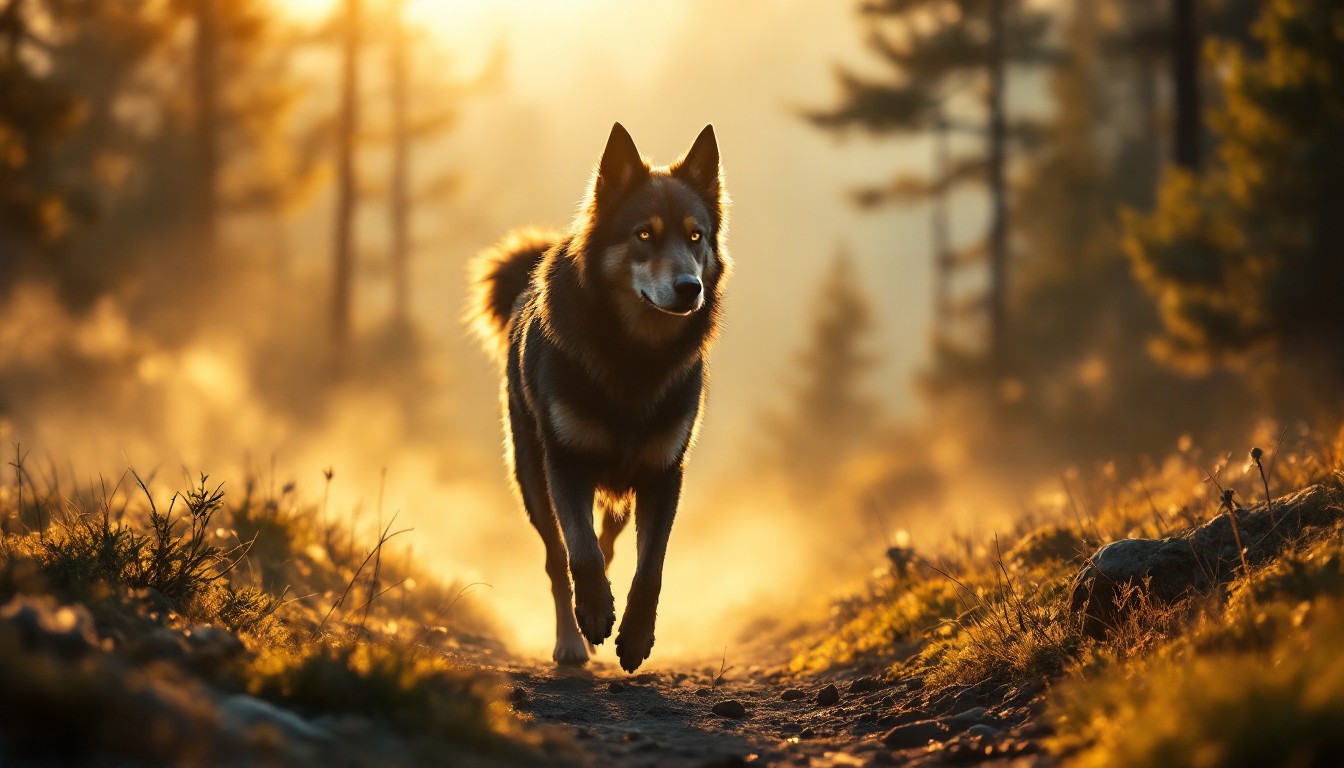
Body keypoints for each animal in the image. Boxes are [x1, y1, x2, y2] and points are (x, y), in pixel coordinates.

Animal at [467, 123, 729, 672]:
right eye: (644, 234)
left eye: (696, 236)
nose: (690, 287)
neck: (633, 354)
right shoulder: (565, 464)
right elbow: (579, 554)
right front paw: (591, 617)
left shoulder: (662, 475)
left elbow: (649, 567)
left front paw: (634, 636)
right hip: (532, 478)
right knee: (557, 558)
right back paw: (572, 641)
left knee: (607, 544)